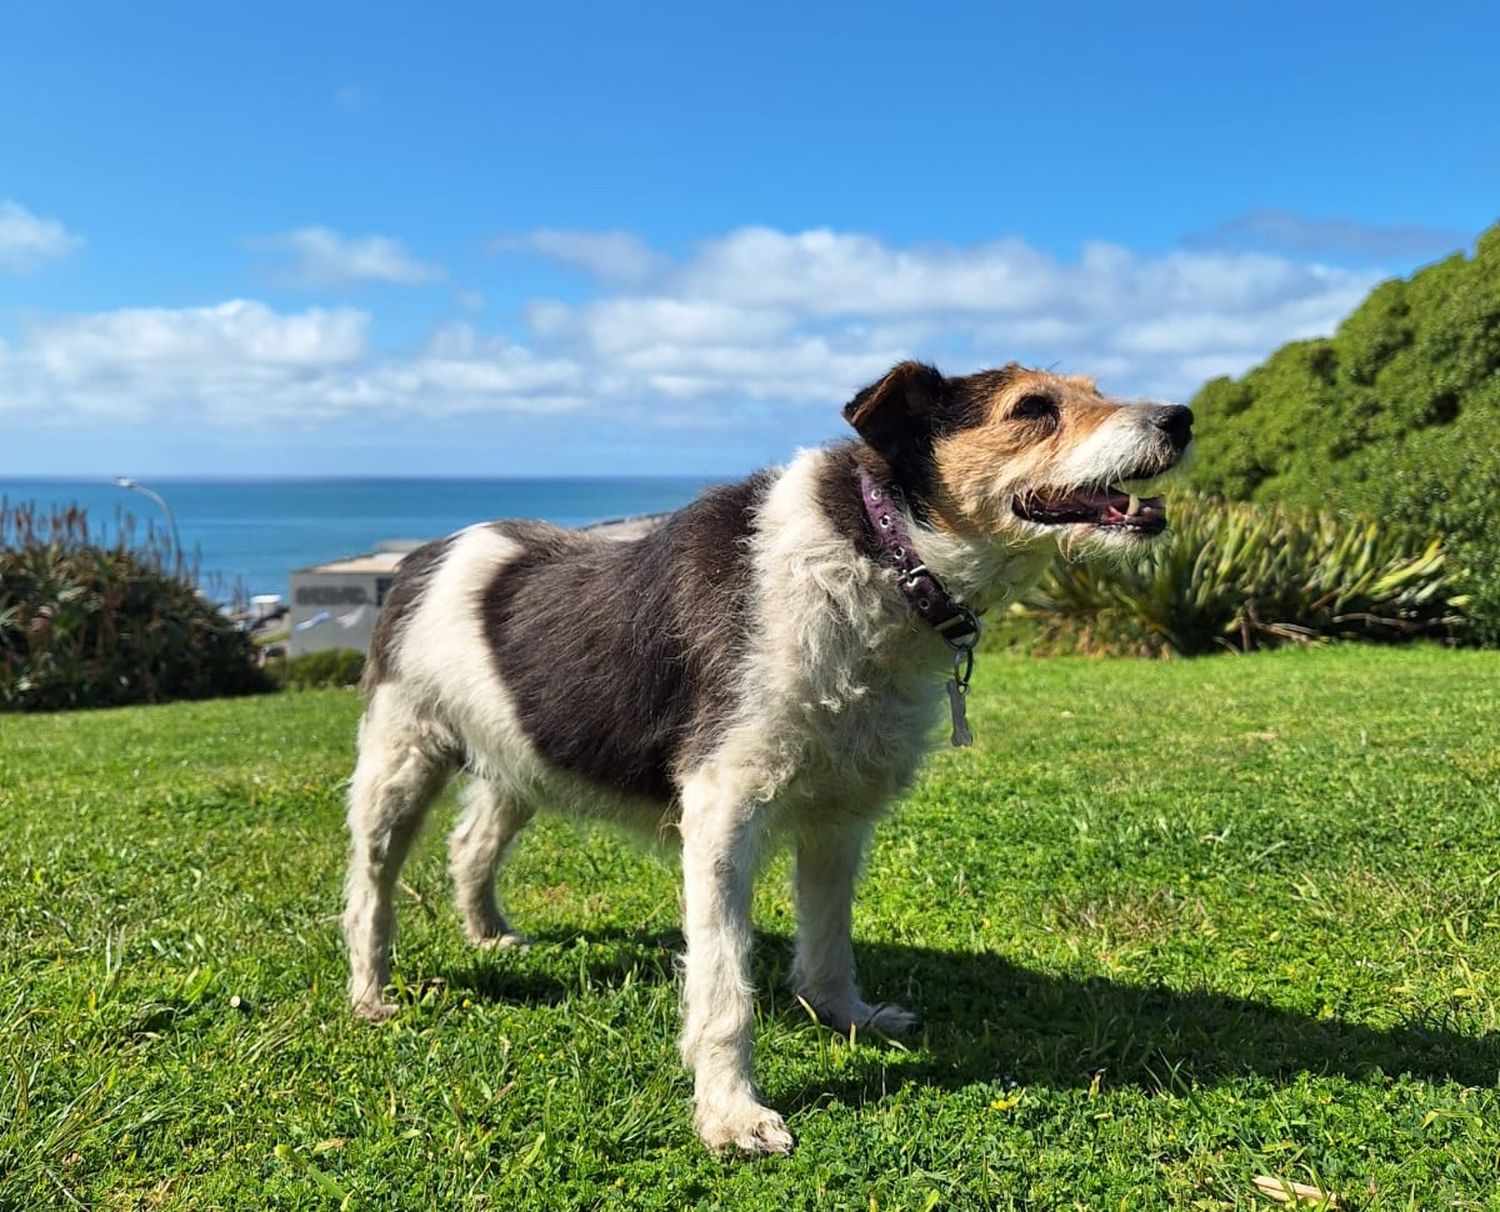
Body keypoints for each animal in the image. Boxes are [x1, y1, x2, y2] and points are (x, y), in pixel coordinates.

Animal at [343, 357, 1194, 1158]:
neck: (880, 555)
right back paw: (371, 993)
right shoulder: (722, 812)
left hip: (521, 758)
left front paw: (844, 1016)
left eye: (1094, 389)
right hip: (400, 759)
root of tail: (413, 562)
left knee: (471, 843)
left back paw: (488, 933)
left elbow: (829, 936)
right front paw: (731, 1114)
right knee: (371, 888)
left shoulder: (841, 812)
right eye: (1032, 408)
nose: (1181, 417)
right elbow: (723, 982)